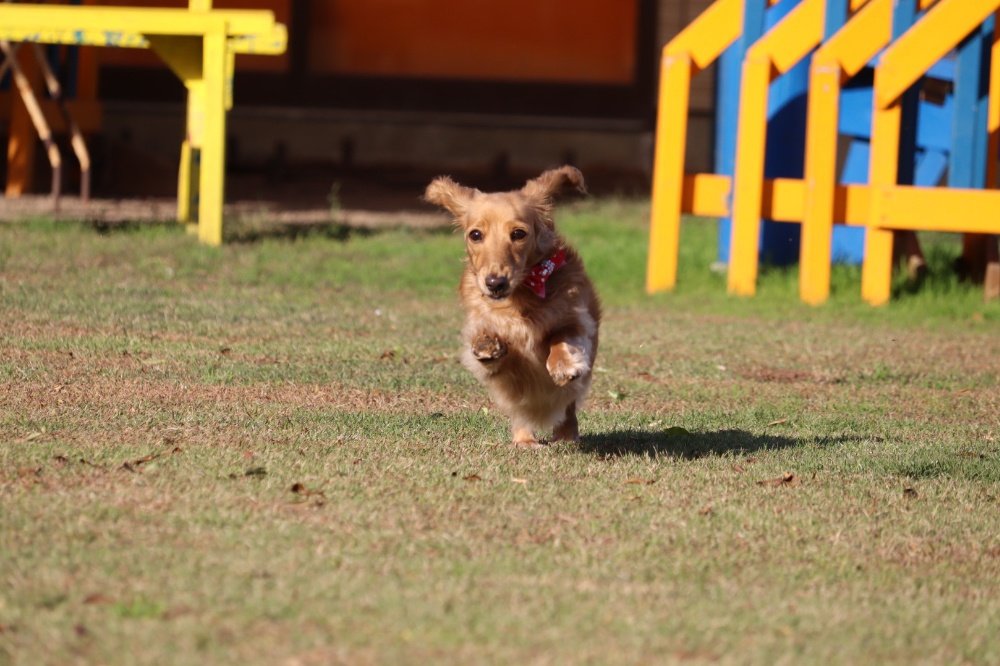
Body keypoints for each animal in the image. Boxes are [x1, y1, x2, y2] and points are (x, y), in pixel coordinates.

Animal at [424, 165, 600, 446]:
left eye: (518, 234)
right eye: (476, 234)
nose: (495, 283)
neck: (518, 302)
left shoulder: (578, 319)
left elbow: (561, 337)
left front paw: (563, 365)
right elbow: (496, 355)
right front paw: (487, 344)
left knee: (567, 410)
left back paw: (566, 436)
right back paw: (525, 441)